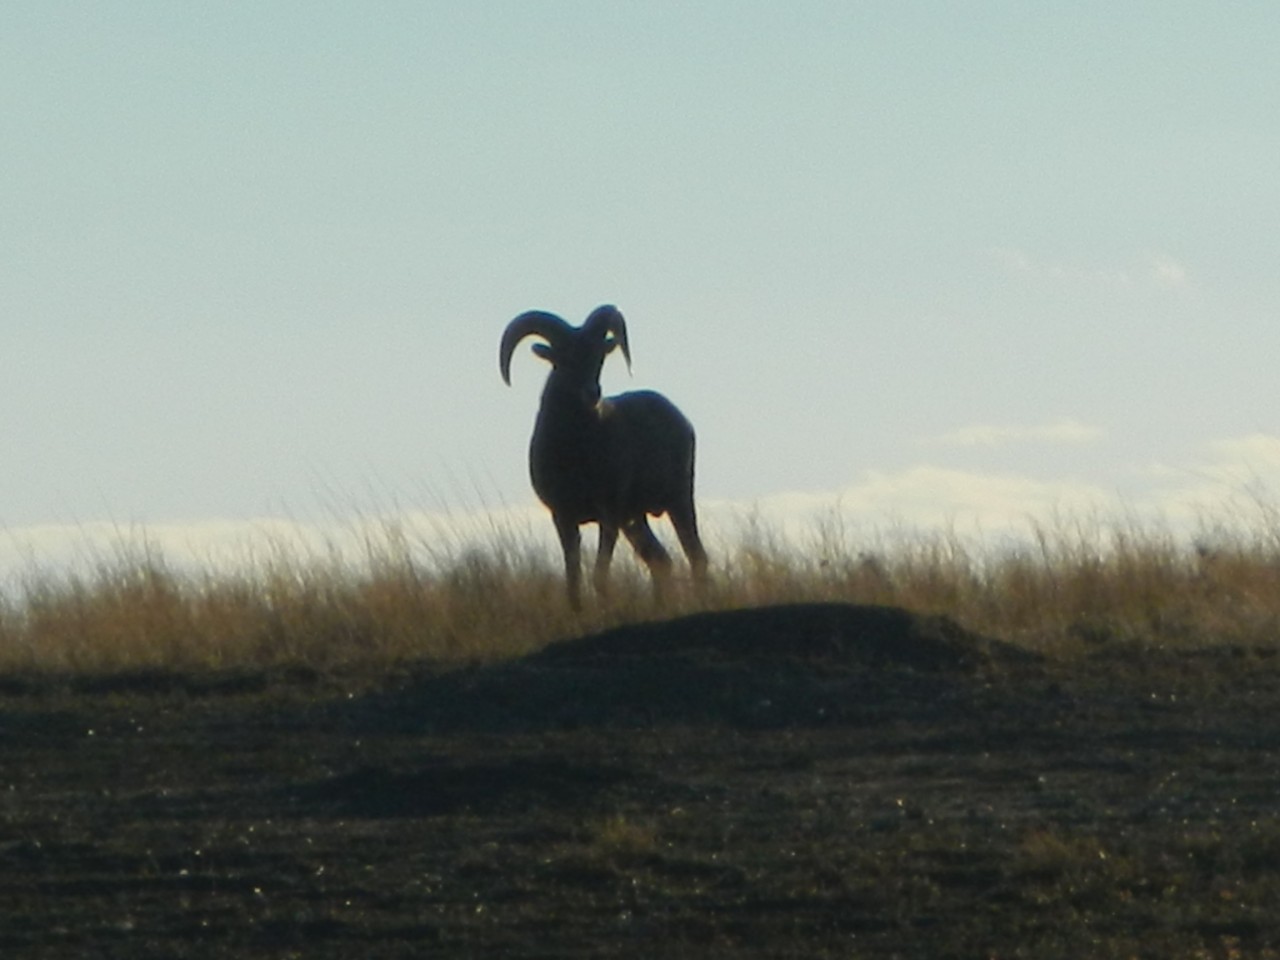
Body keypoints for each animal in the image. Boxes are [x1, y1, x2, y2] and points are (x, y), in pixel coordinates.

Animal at [499, 304, 709, 610]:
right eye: (563, 357)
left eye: (598, 356)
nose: (592, 393)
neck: (573, 453)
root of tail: (683, 421)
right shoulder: (564, 518)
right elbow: (573, 580)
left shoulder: (607, 517)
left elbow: (600, 576)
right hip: (637, 520)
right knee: (661, 561)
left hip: (678, 501)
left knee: (695, 557)